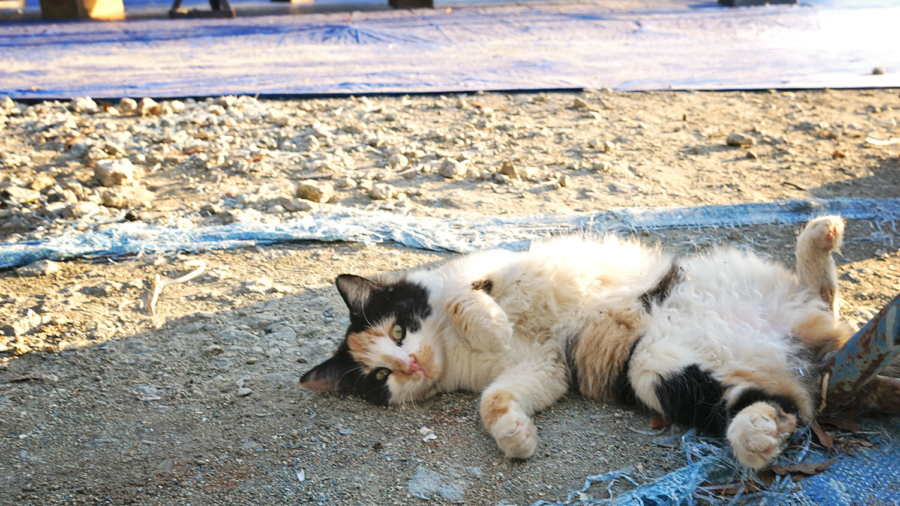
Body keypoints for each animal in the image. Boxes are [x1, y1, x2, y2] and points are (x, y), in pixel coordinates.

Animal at [300, 215, 852, 468]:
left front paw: (491, 324)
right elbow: (493, 399)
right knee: (784, 403)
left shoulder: (488, 267)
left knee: (823, 295)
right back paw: (758, 435)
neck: (452, 348)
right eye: (380, 375)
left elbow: (462, 296)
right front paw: (515, 436)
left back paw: (819, 235)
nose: (411, 364)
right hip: (656, 368)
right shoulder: (545, 367)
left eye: (398, 330)